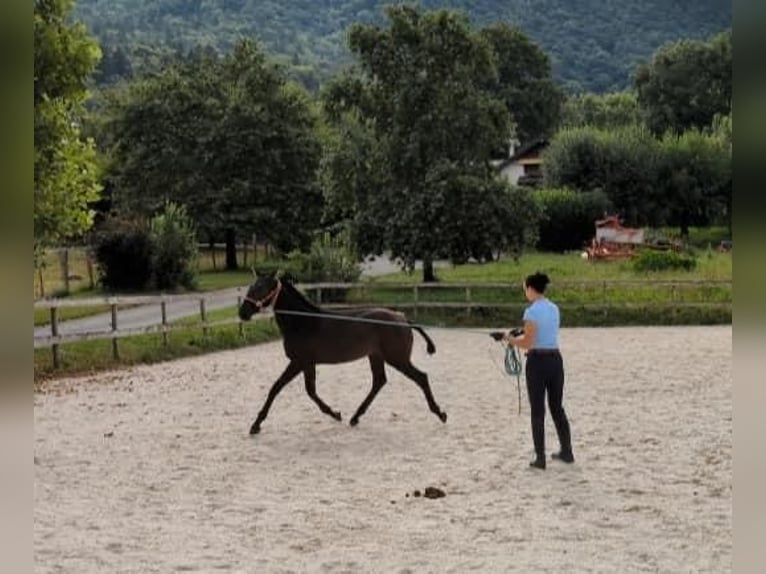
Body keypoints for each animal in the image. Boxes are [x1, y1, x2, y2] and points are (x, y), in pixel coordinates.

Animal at [237, 272, 448, 434]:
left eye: (262, 289)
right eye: (250, 287)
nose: (242, 313)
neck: (303, 322)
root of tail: (402, 319)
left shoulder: (299, 362)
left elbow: (278, 388)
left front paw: (255, 425)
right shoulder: (307, 364)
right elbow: (309, 391)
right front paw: (336, 414)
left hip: (397, 359)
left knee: (421, 377)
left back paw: (440, 413)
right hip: (376, 356)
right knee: (379, 381)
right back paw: (355, 417)